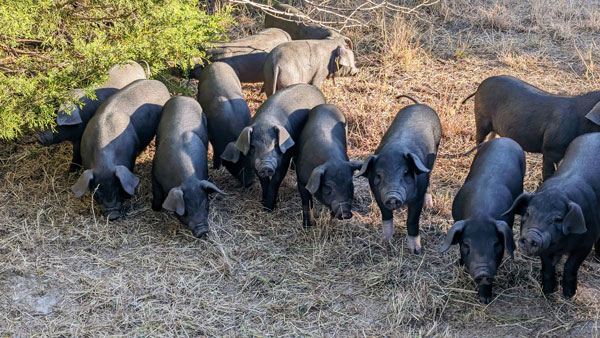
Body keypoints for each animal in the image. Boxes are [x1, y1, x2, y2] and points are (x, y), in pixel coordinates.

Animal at [70, 80, 170, 220]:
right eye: (97, 195)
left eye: (118, 191)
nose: (112, 215)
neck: (104, 162)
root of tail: (159, 82)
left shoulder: (131, 157)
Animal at [151, 95, 226, 238]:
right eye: (185, 211)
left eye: (206, 205)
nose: (203, 230)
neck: (188, 179)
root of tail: (183, 97)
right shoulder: (155, 176)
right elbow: (157, 194)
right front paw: (155, 209)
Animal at [356, 95, 440, 254]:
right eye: (378, 175)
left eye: (406, 173)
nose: (392, 196)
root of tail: (419, 105)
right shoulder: (378, 195)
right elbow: (386, 216)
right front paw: (386, 241)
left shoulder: (417, 197)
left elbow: (412, 221)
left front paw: (416, 251)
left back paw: (429, 205)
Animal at [438, 137, 524, 304]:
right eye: (466, 244)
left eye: (496, 244)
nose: (483, 272)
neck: (481, 213)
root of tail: (504, 139)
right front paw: (459, 263)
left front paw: (485, 299)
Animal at [502, 132, 600, 298]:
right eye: (528, 213)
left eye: (558, 219)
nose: (531, 236)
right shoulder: (546, 246)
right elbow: (548, 267)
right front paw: (547, 292)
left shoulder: (586, 243)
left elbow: (571, 266)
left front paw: (569, 295)